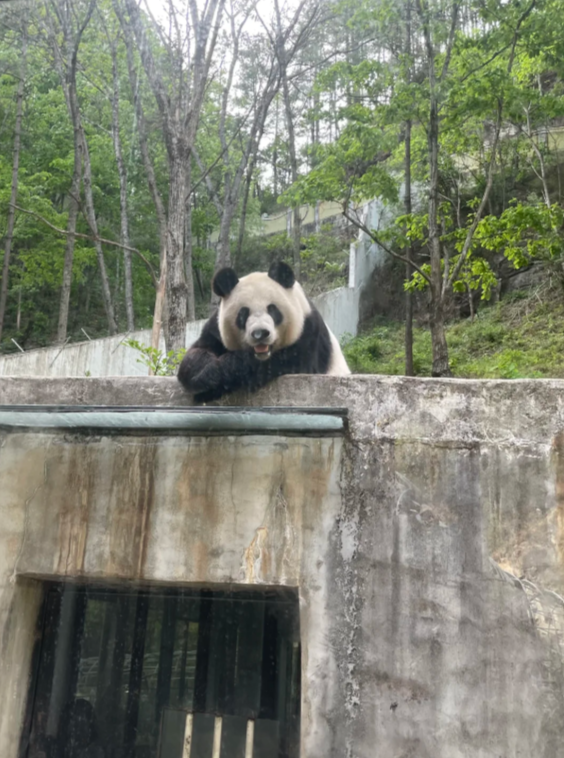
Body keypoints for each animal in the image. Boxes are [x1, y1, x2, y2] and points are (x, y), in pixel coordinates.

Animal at [177, 261, 350, 402]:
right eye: (243, 314)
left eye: (272, 310)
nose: (260, 333)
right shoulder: (216, 329)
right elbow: (198, 352)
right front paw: (204, 375)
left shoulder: (308, 331)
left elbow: (285, 363)